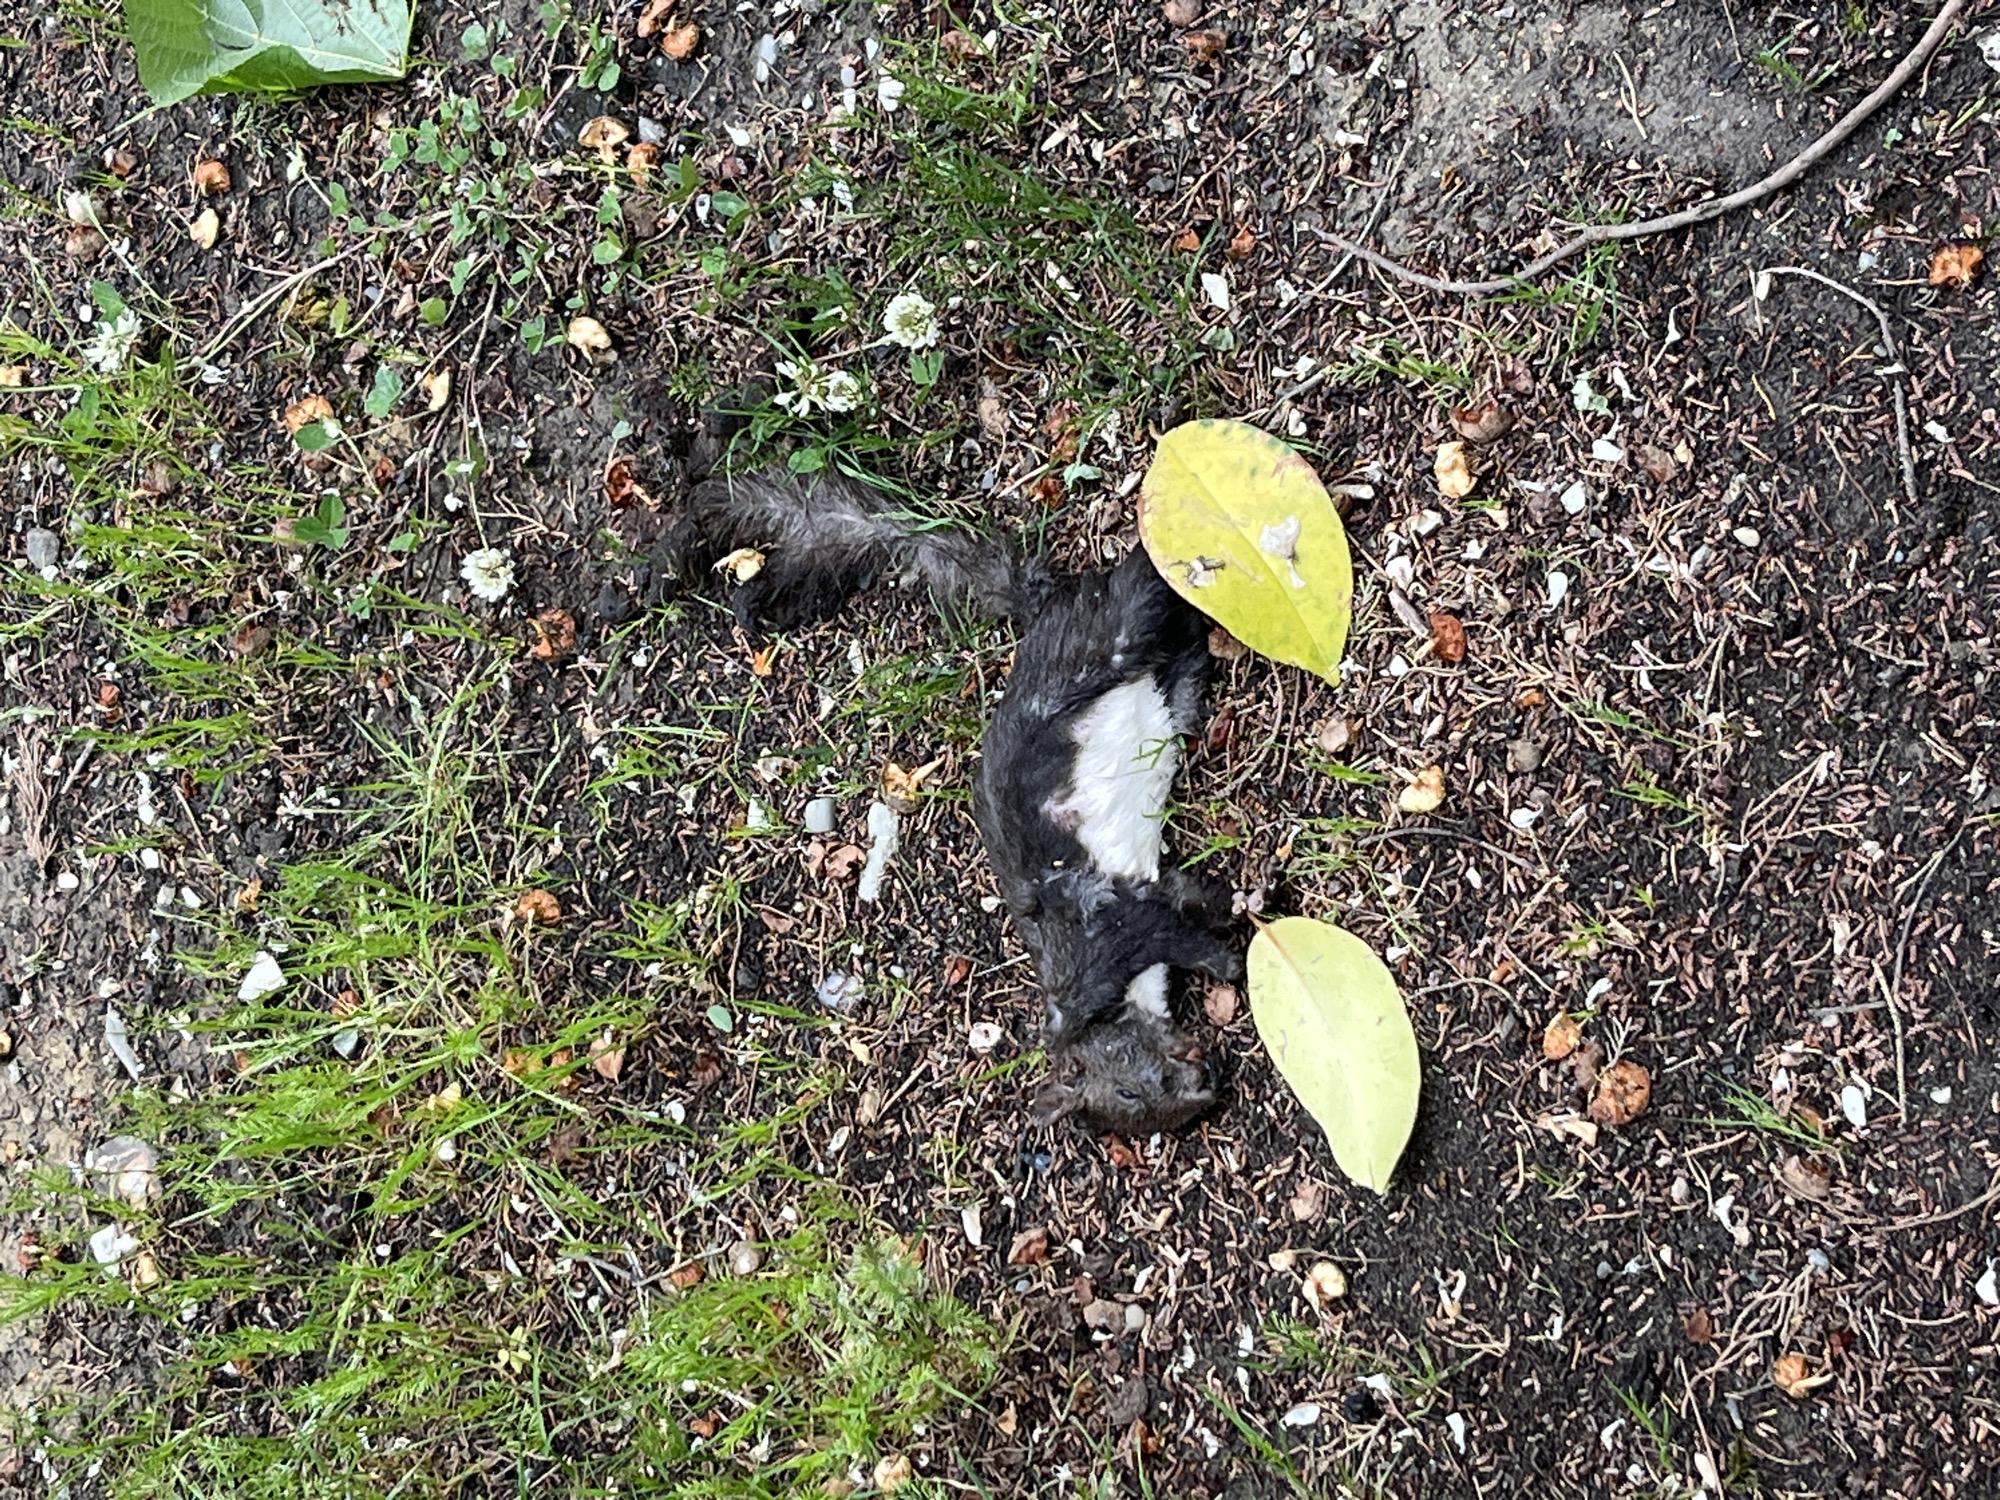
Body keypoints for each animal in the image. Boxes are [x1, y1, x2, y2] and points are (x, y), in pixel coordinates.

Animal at [685, 468, 1241, 1136]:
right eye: (1131, 1102)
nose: (1204, 1083)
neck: (1083, 1003)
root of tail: (1042, 609)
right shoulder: (1143, 892)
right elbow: (1191, 898)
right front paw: (1246, 907)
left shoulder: (1111, 930)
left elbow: (1183, 936)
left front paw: (1230, 962)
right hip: (1163, 672)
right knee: (1179, 649)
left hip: (1109, 637)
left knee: (1140, 580)